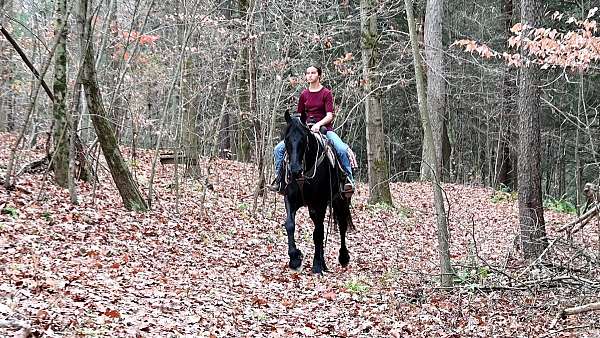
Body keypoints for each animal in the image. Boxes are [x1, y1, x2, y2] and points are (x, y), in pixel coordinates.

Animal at [278, 111, 354, 274]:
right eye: (286, 139)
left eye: (304, 138)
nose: (295, 170)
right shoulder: (290, 199)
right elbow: (290, 225)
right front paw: (295, 258)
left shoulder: (320, 203)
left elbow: (318, 233)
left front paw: (317, 265)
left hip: (340, 200)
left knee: (342, 225)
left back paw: (343, 258)